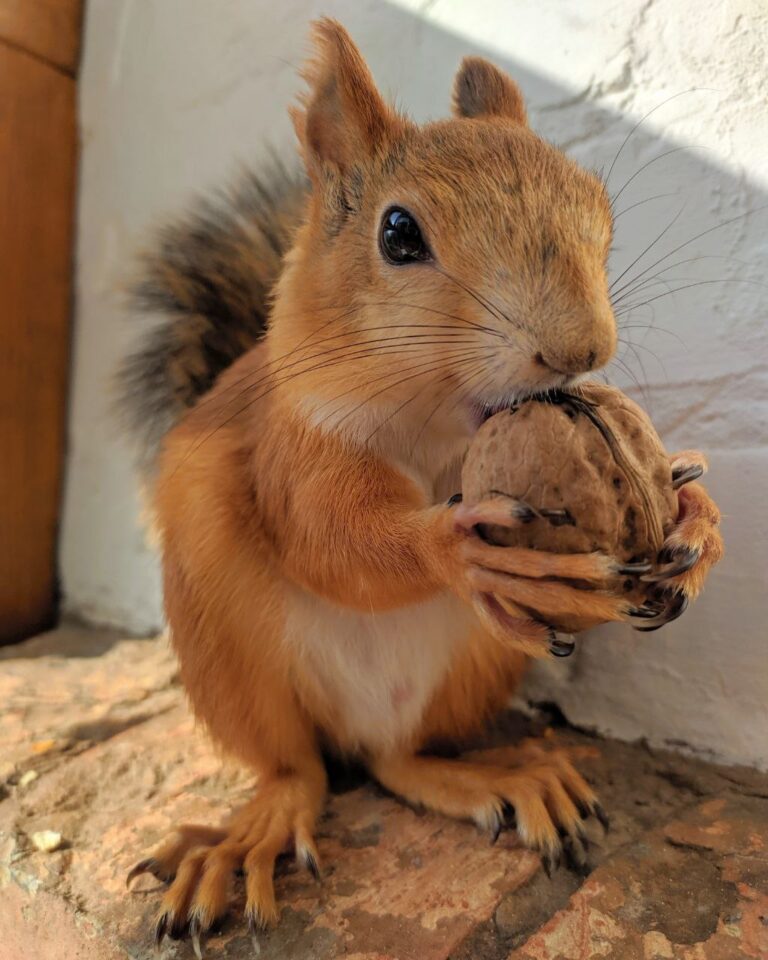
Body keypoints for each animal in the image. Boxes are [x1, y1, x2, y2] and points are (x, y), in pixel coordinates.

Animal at [120, 19, 723, 950]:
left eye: (598, 206)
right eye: (399, 233)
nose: (581, 348)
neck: (445, 424)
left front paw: (695, 513)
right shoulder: (293, 445)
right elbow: (330, 540)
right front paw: (459, 549)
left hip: (476, 667)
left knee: (398, 761)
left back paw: (501, 777)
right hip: (234, 663)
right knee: (299, 771)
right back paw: (246, 838)